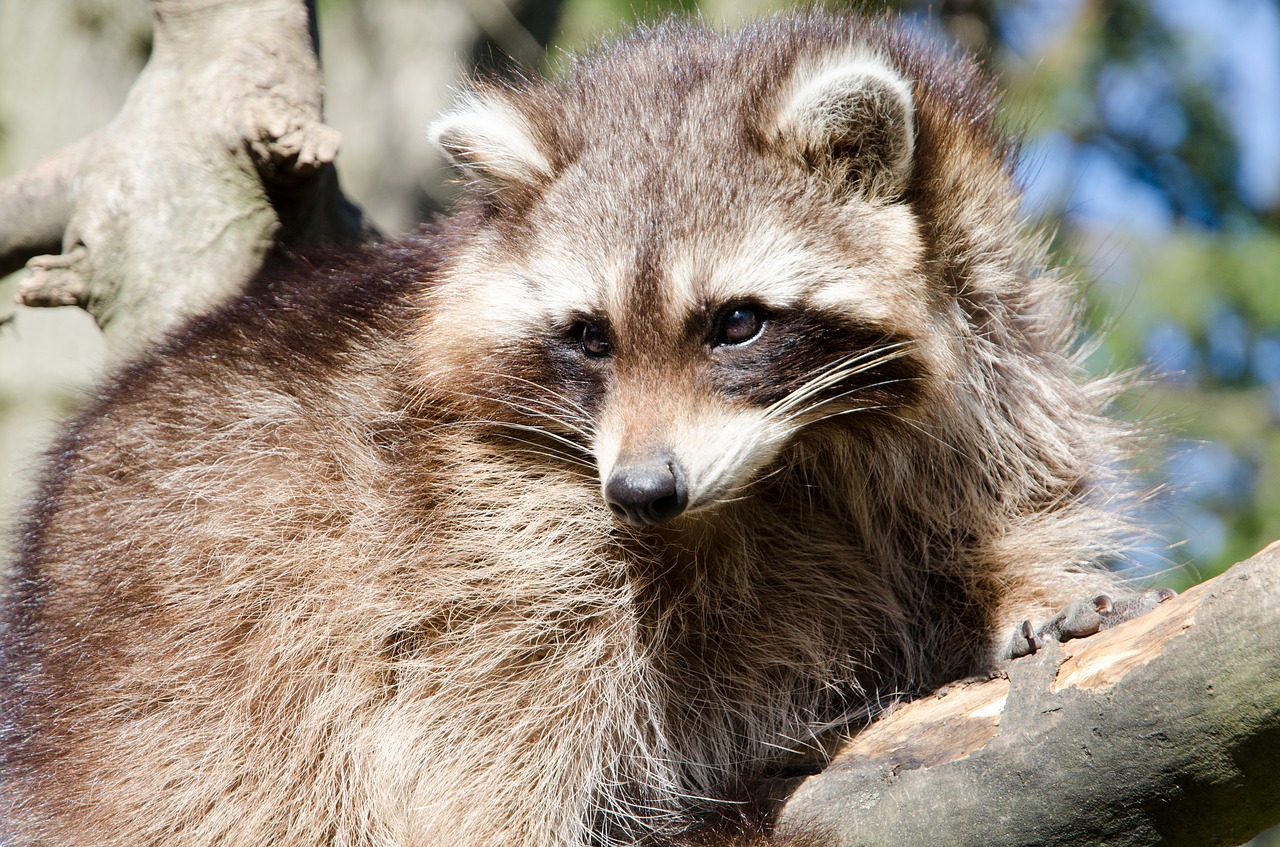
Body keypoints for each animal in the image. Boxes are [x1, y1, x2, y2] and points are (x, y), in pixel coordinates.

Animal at [0, 11, 1172, 847]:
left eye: (735, 323)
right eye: (589, 337)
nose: (642, 492)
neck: (791, 459)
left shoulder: (985, 341)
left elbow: (1002, 479)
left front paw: (1022, 578)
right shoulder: (481, 549)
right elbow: (476, 743)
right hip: (185, 696)